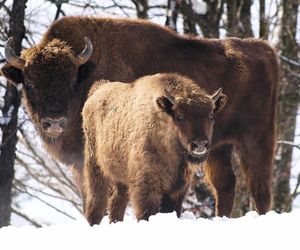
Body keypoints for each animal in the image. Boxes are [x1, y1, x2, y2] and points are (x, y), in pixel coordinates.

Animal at [81, 73, 226, 225]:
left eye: (210, 115)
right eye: (180, 116)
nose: (200, 144)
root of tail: (98, 90)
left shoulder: (177, 190)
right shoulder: (147, 187)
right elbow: (146, 213)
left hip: (121, 178)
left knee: (117, 203)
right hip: (95, 168)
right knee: (96, 203)